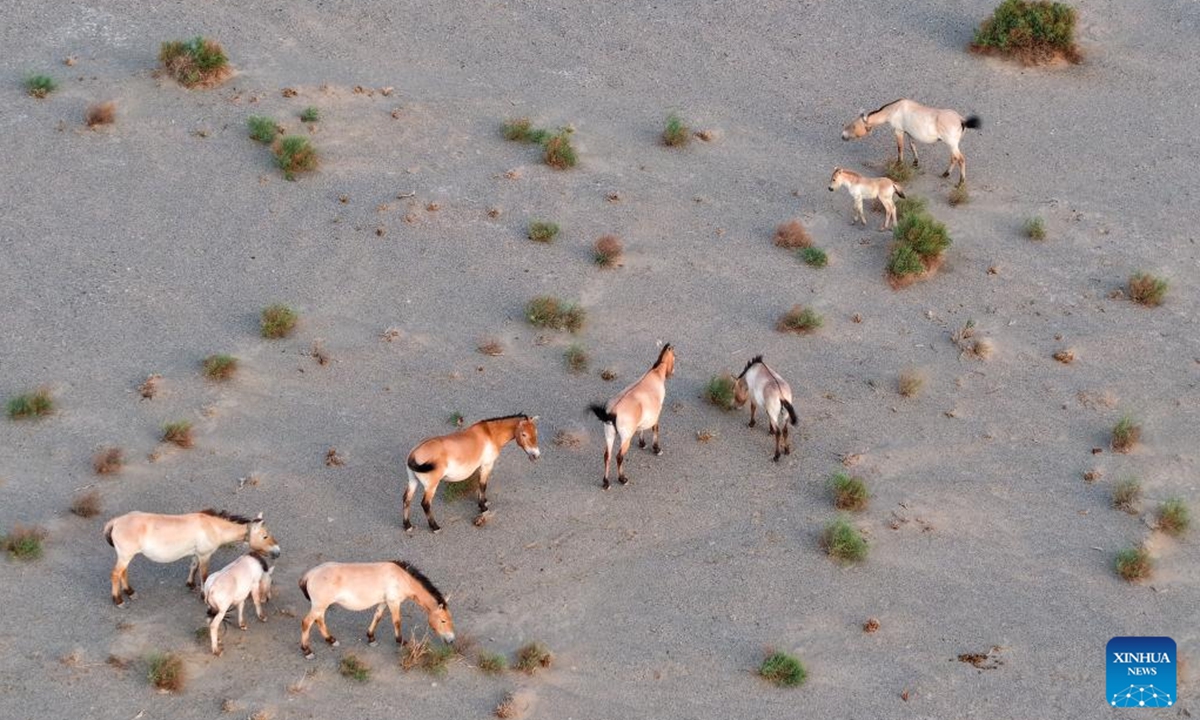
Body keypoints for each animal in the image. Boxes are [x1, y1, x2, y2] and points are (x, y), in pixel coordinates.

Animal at [103, 509, 280, 607]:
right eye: (265, 536)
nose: (278, 552)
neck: (212, 527)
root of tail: (116, 521)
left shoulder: (196, 554)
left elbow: (193, 567)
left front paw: (190, 584)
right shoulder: (205, 555)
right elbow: (204, 575)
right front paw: (203, 595)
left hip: (126, 556)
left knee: (123, 573)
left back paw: (130, 592)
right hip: (125, 555)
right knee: (115, 574)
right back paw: (118, 600)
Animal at [297, 560, 455, 659]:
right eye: (443, 620)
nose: (451, 640)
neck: (401, 578)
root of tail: (309, 575)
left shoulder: (383, 602)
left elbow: (377, 617)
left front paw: (371, 638)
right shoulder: (393, 602)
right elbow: (397, 622)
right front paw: (401, 641)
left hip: (321, 607)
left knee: (319, 621)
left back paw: (331, 640)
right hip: (319, 606)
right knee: (306, 623)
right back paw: (307, 651)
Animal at [403, 414, 540, 533]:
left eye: (536, 433)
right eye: (524, 434)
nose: (536, 455)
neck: (490, 434)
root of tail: (413, 454)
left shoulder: (481, 467)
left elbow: (480, 485)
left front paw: (483, 502)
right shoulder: (487, 465)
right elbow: (483, 485)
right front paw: (483, 508)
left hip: (412, 481)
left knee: (406, 499)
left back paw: (407, 526)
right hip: (431, 486)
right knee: (425, 504)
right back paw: (435, 527)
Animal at [588, 343, 675, 489]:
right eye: (675, 356)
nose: (672, 372)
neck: (655, 373)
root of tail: (613, 413)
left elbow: (641, 428)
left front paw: (642, 443)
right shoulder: (656, 414)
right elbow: (655, 429)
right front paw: (656, 449)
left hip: (609, 434)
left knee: (607, 455)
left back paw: (606, 483)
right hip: (625, 438)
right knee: (619, 456)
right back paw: (622, 479)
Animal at [841, 99, 981, 185]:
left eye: (854, 126)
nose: (843, 136)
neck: (895, 109)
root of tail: (961, 120)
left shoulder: (898, 131)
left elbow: (900, 148)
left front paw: (899, 164)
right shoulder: (909, 134)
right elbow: (912, 146)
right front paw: (915, 163)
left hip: (952, 144)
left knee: (960, 159)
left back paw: (960, 182)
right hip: (952, 146)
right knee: (954, 158)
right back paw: (945, 174)